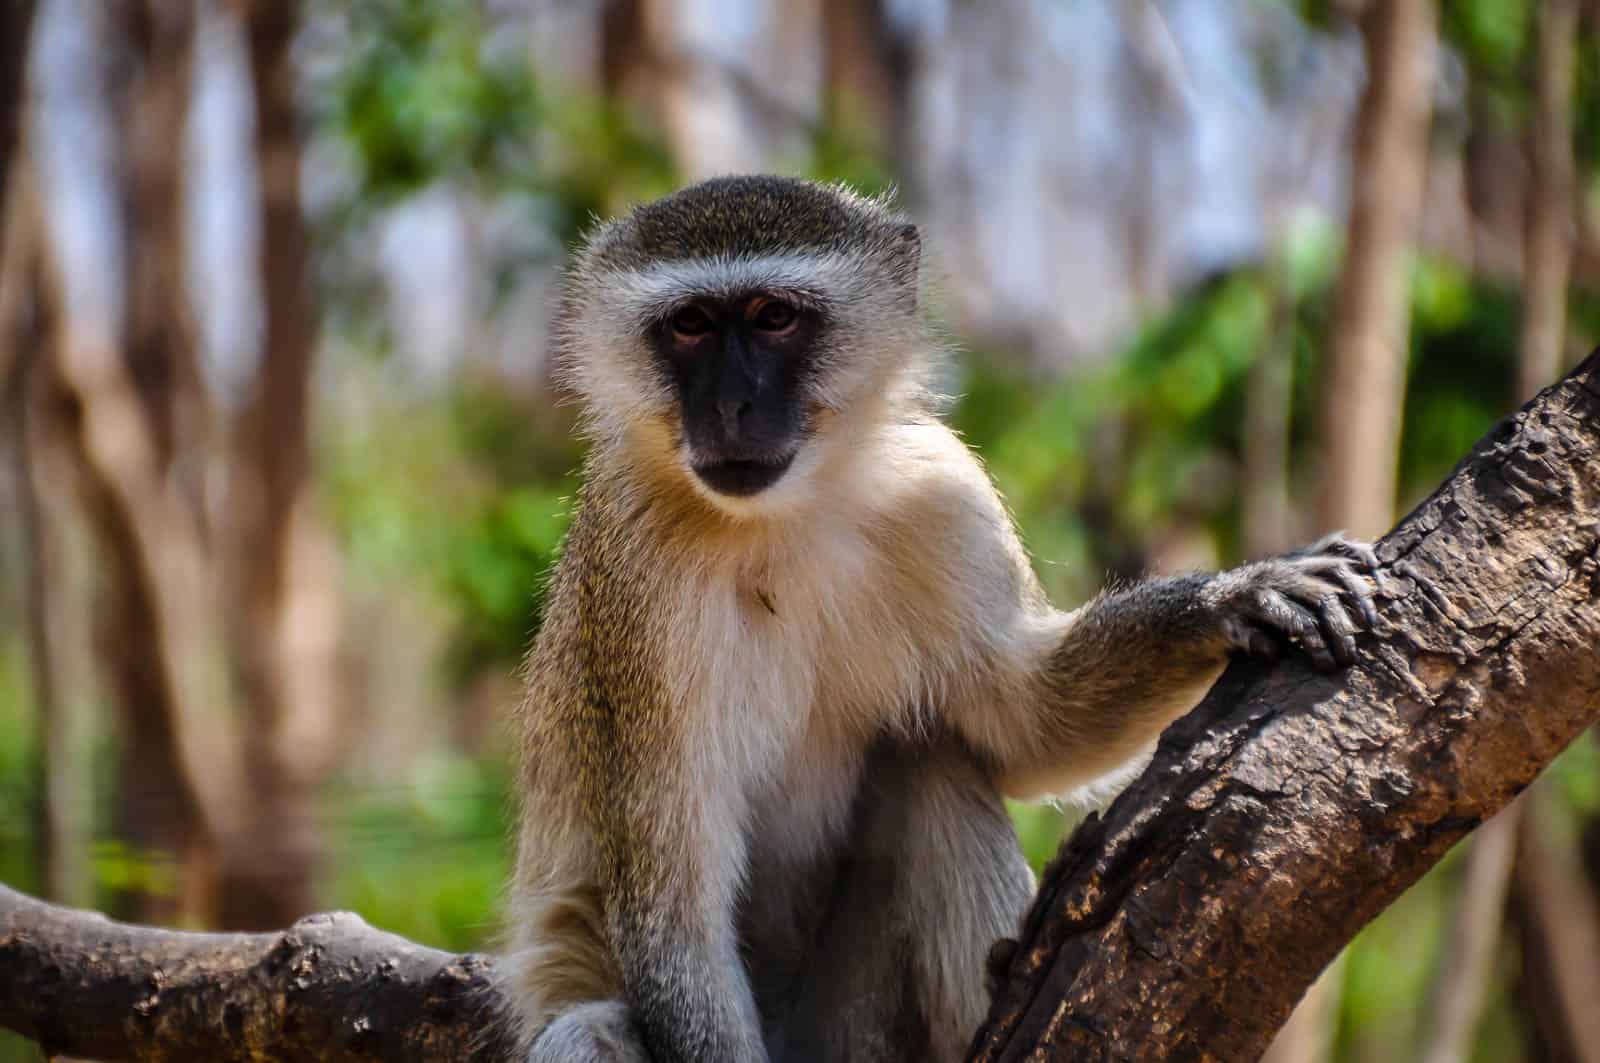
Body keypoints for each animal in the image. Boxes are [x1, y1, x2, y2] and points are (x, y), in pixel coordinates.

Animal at [501, 175, 1380, 1063]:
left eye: (774, 316)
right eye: (689, 326)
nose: (732, 405)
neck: (782, 517)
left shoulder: (943, 492)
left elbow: (1025, 721)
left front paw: (1227, 598)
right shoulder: (633, 586)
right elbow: (673, 916)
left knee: (929, 764)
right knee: (587, 1031)